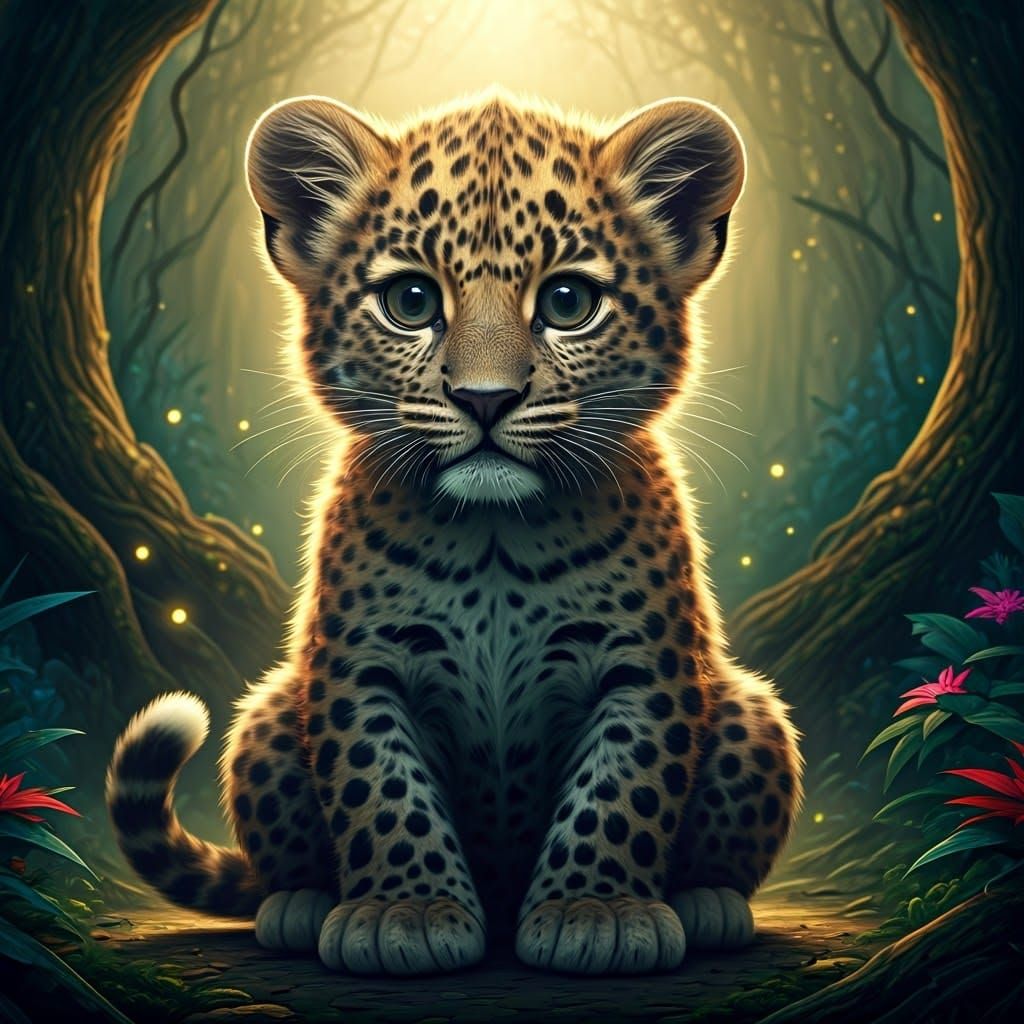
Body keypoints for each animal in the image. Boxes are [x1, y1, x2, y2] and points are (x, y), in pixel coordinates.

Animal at [106, 88, 802, 977]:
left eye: (569, 303)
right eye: (411, 301)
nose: (485, 399)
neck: (494, 537)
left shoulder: (645, 667)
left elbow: (621, 788)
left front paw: (595, 910)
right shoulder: (360, 667)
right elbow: (381, 790)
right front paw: (405, 911)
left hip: (751, 710)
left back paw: (710, 902)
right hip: (268, 713)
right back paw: (297, 904)